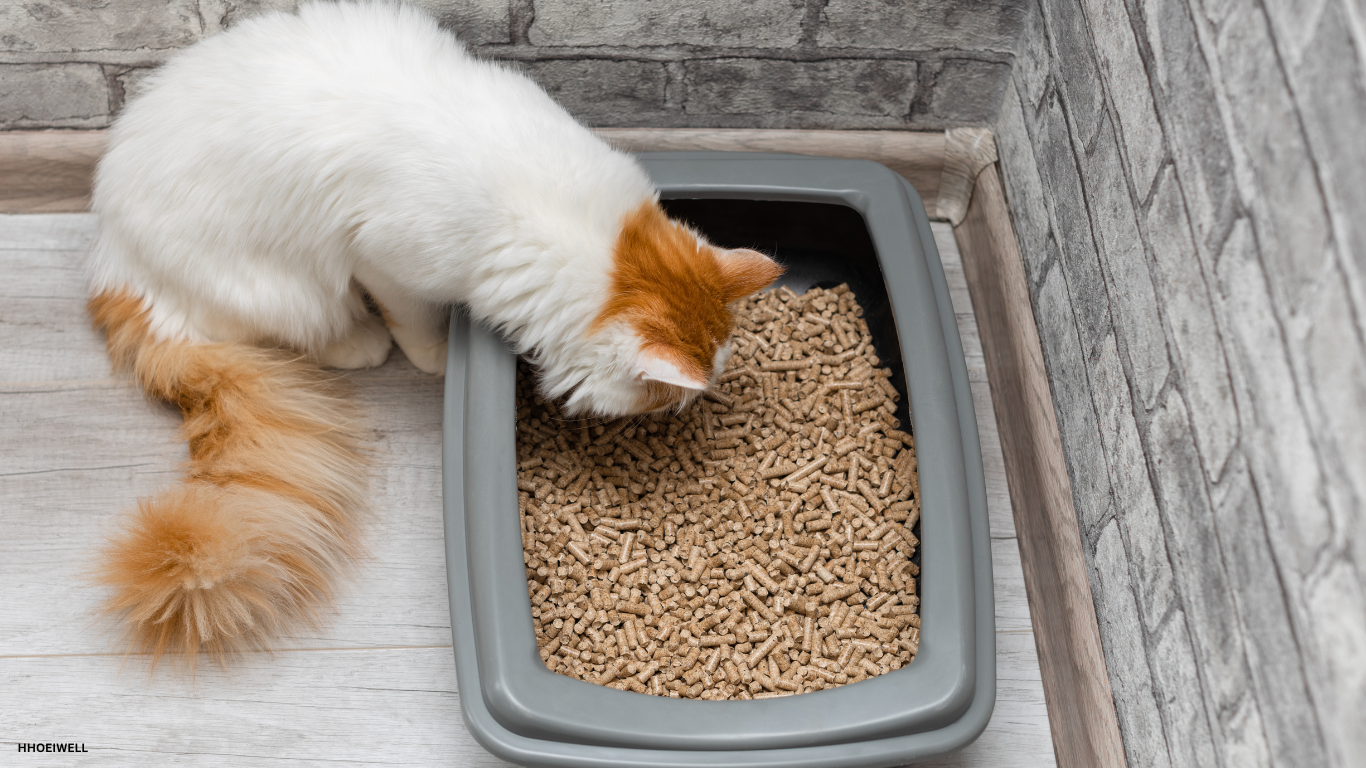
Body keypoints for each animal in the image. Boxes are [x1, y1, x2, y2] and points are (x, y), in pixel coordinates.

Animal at [90, 1, 781, 664]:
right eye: (671, 397)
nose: (689, 410)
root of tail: (117, 266)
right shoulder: (389, 263)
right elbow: (416, 324)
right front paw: (441, 356)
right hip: (289, 291)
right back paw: (359, 343)